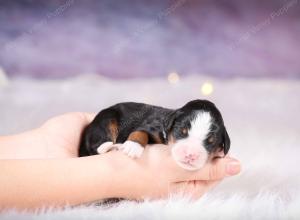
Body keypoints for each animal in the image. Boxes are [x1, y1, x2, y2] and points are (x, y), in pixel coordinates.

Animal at [79, 99, 230, 170]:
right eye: (181, 131)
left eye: (211, 141)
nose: (190, 155)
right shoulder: (151, 125)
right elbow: (140, 132)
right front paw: (133, 146)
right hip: (106, 120)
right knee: (98, 147)